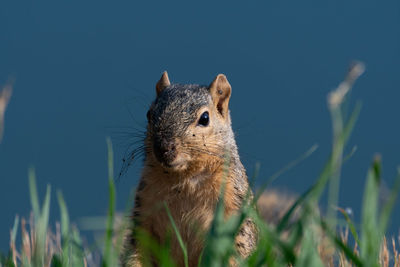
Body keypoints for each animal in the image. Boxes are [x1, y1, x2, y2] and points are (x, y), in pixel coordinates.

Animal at [122, 72, 258, 266]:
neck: (184, 178)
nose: (163, 147)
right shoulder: (144, 213)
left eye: (205, 118)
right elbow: (138, 251)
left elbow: (237, 250)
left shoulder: (234, 207)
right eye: (149, 114)